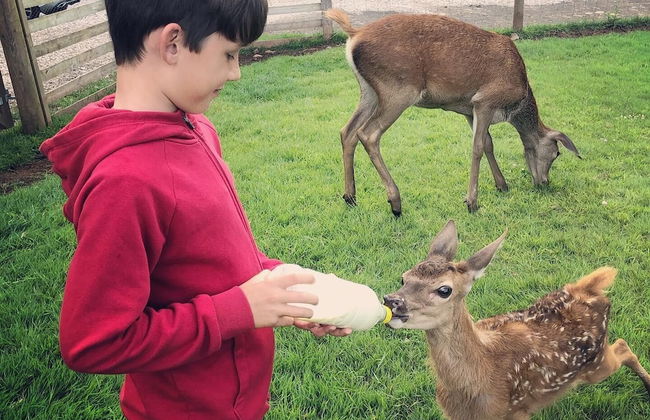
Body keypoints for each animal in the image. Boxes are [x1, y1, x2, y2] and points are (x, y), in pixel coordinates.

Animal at [325, 9, 581, 216]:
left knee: (347, 130)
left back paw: (350, 196)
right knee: (367, 134)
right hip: (399, 89)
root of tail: (354, 35)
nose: (544, 182)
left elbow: (488, 143)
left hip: (369, 92)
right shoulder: (485, 100)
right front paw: (472, 202)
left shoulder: (469, 109)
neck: (515, 104)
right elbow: (477, 147)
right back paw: (395, 201)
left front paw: (502, 185)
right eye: (556, 153)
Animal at [384, 221, 650, 420]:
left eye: (444, 290)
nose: (391, 301)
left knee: (623, 347)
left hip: (596, 366)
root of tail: (588, 288)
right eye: (404, 277)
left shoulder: (515, 413)